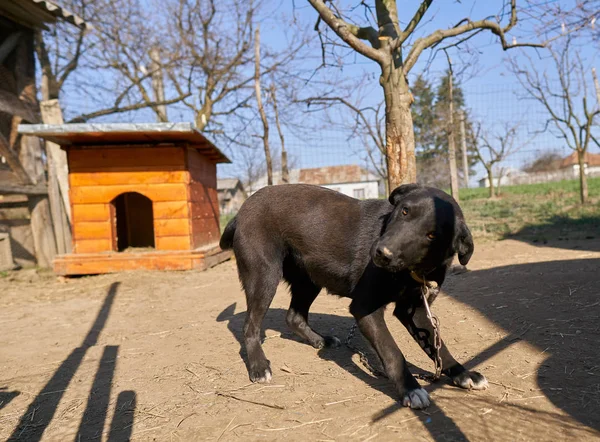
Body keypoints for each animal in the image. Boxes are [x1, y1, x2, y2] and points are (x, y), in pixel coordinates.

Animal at [220, 182, 488, 408]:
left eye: (432, 234)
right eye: (404, 211)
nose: (381, 252)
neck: (411, 271)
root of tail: (241, 211)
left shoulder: (415, 311)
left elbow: (437, 344)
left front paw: (462, 372)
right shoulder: (364, 308)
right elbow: (393, 352)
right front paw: (411, 389)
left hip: (309, 278)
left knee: (294, 316)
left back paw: (319, 340)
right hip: (264, 276)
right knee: (250, 326)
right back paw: (258, 366)